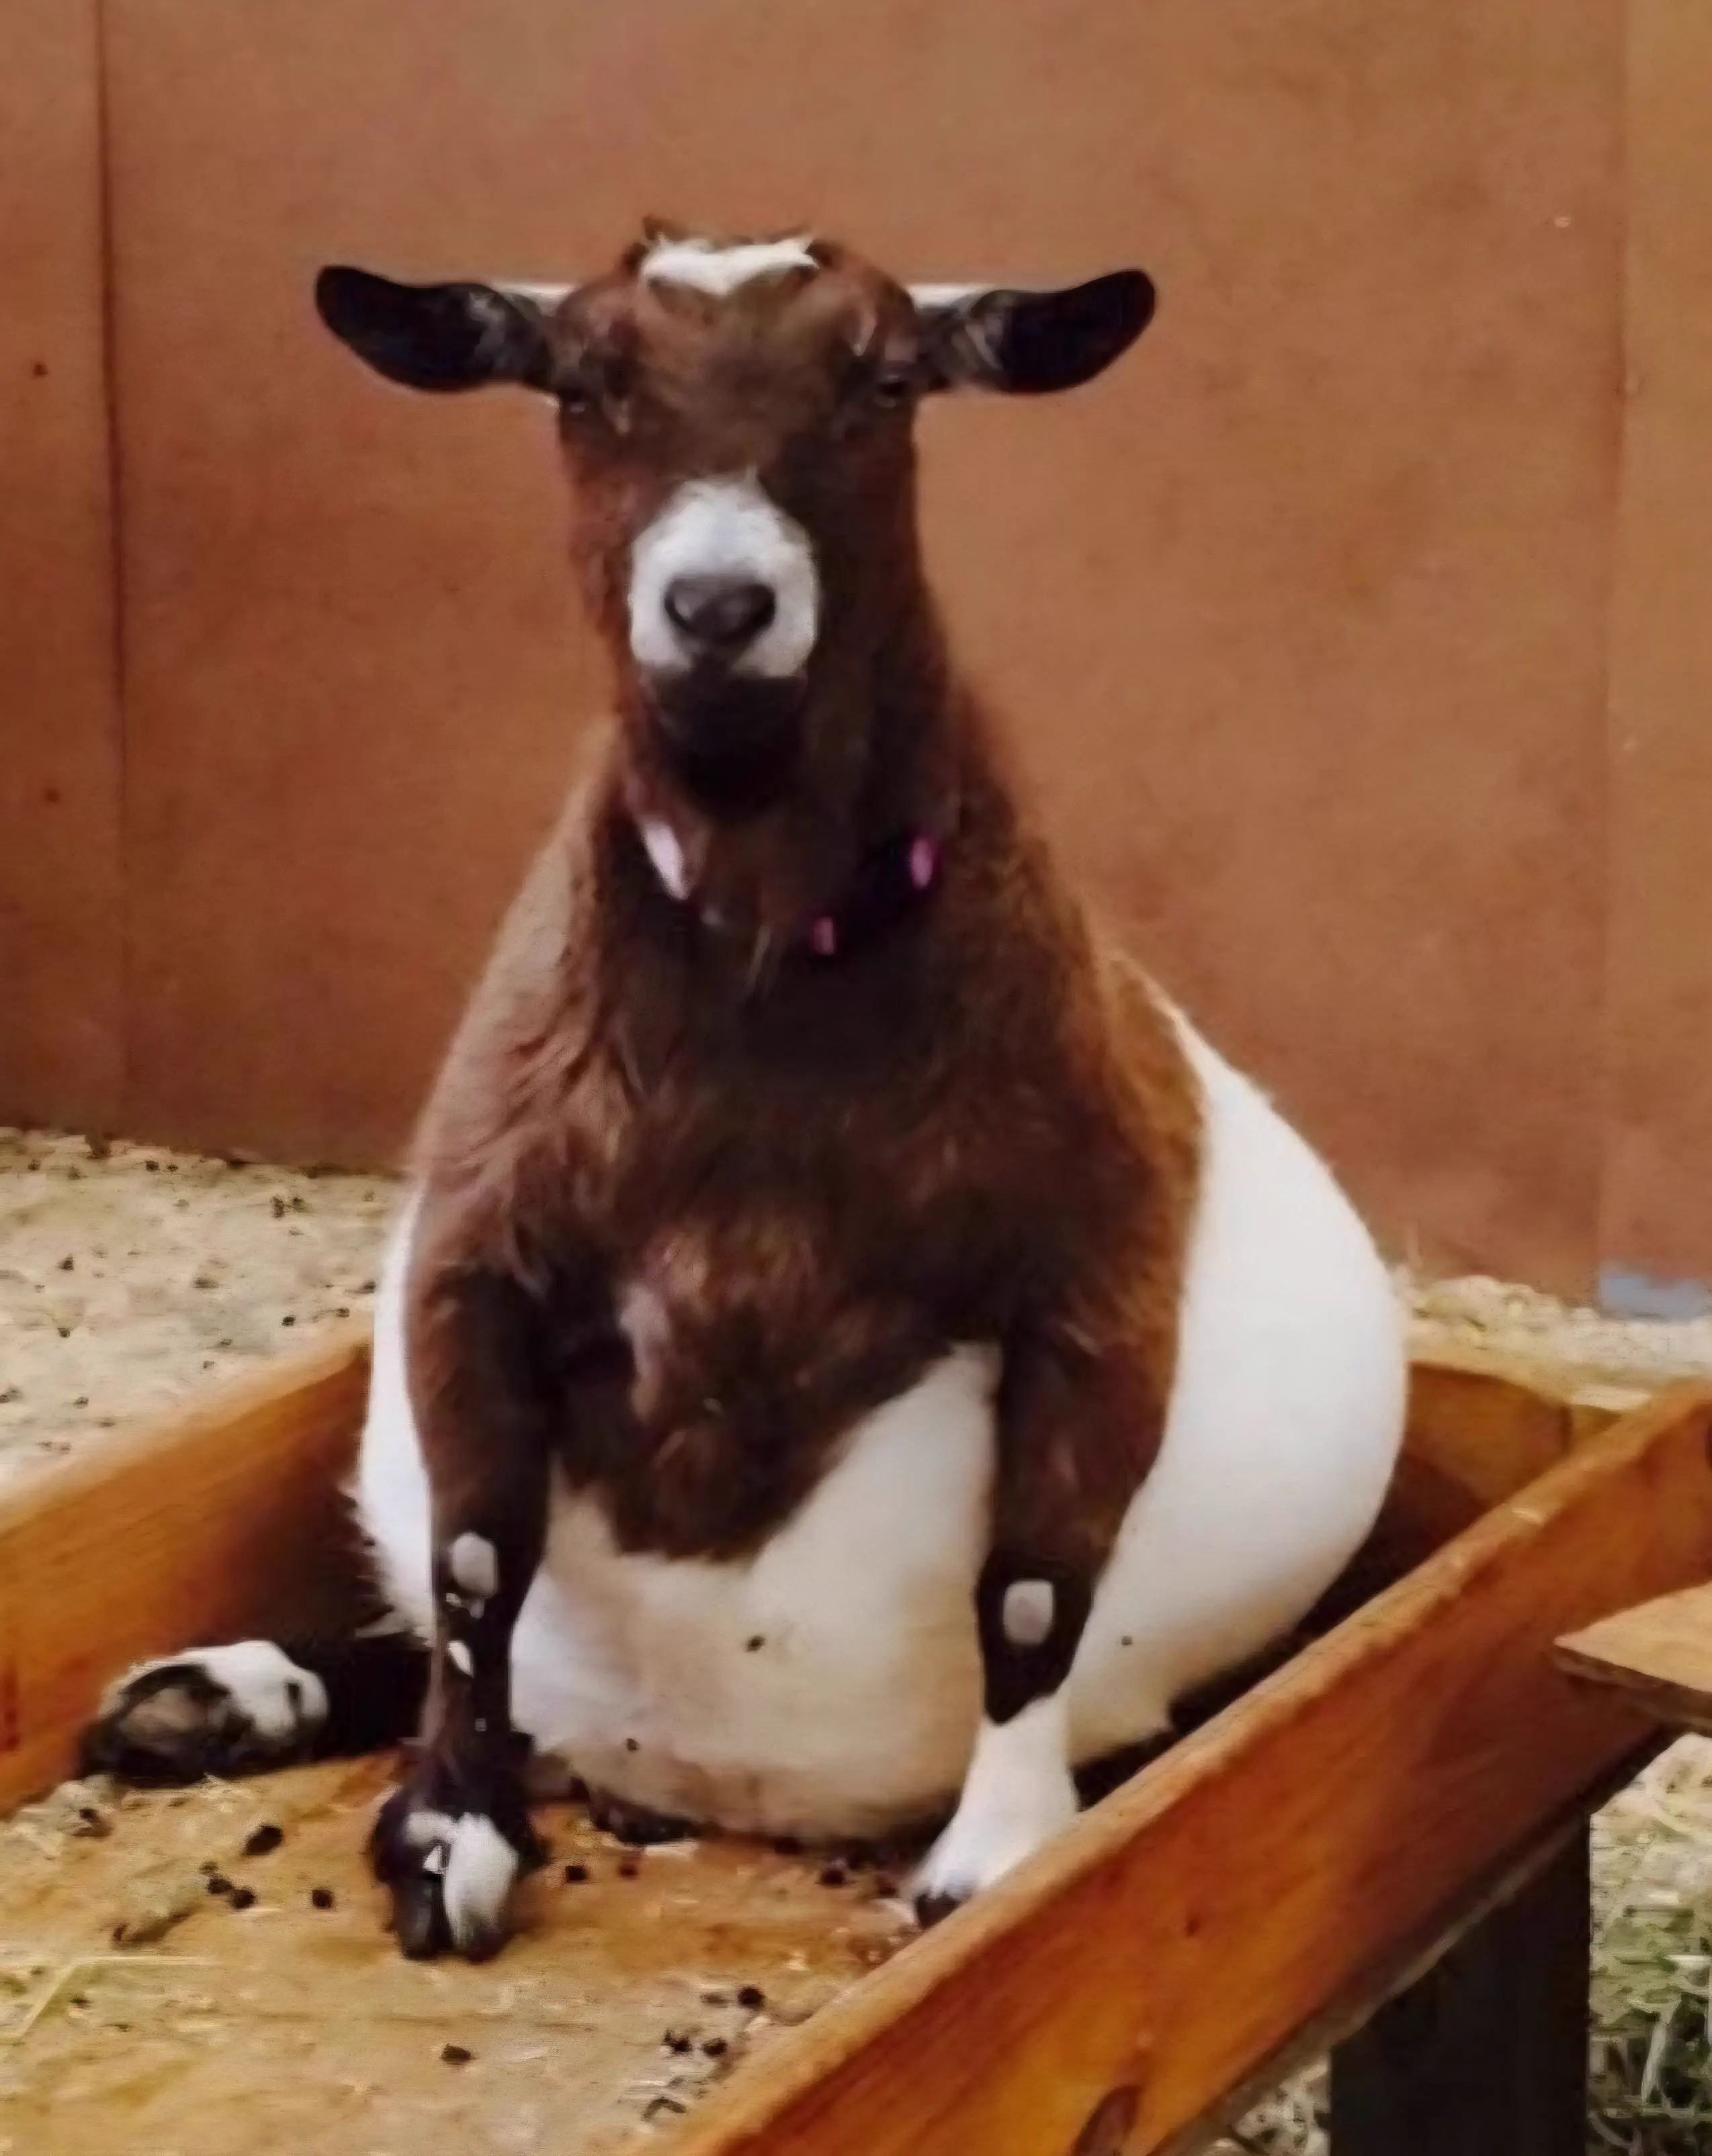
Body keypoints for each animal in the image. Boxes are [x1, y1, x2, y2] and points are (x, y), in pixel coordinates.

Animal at [86, 223, 1407, 1960]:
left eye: (885, 380)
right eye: (583, 383)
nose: (718, 600)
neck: (768, 969)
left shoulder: (1095, 1273)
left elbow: (1033, 1591)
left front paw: (995, 1858)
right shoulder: (480, 1248)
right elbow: (472, 1563)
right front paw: (448, 1836)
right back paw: (214, 1696)